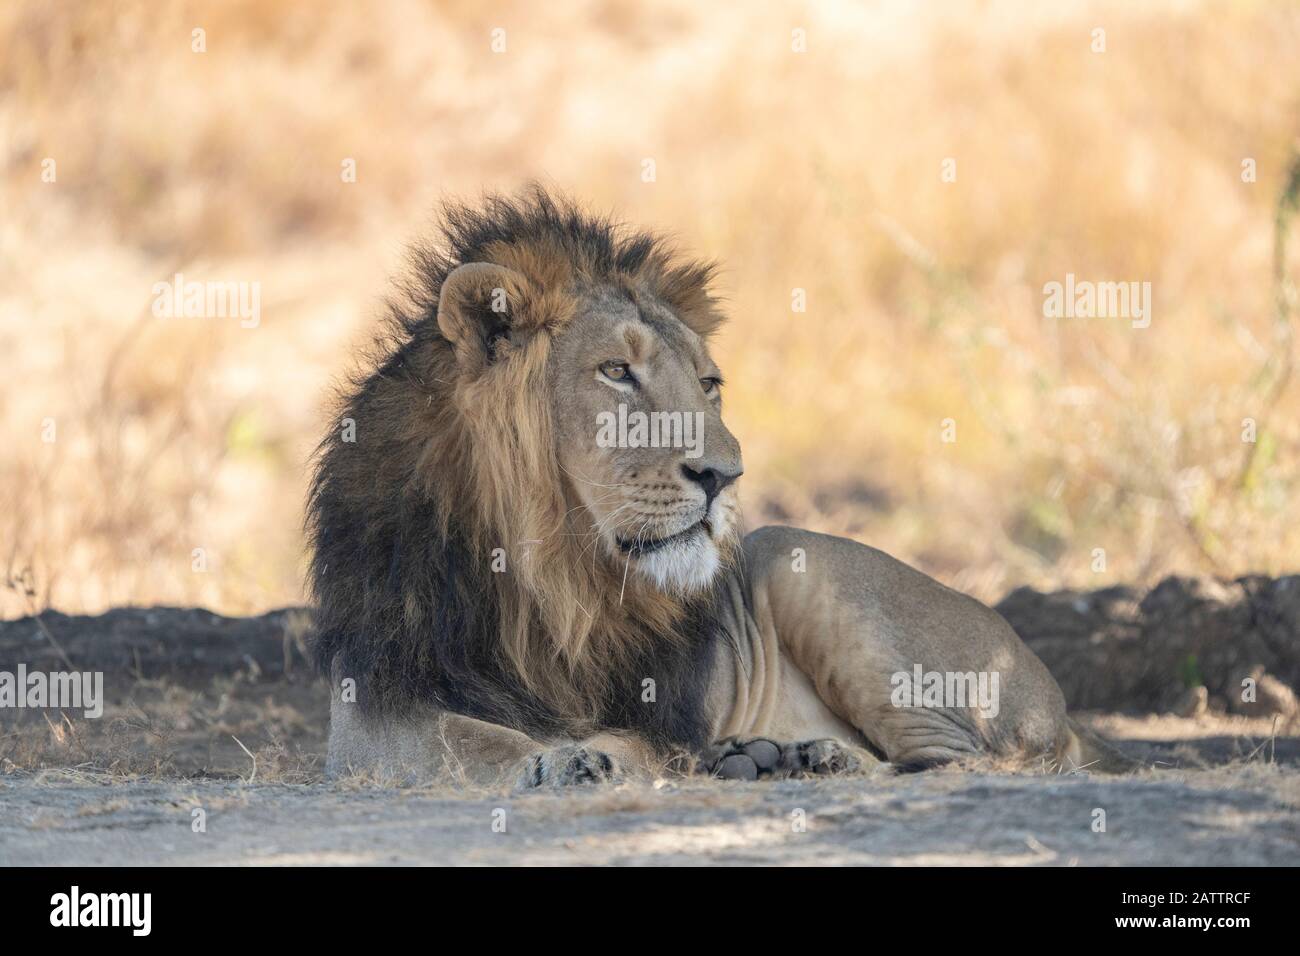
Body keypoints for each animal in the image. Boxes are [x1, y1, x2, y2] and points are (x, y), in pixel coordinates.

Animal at [307, 186, 1132, 787]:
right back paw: (768, 758)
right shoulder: (375, 703)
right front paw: (554, 756)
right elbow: (459, 739)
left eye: (707, 385)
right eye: (616, 371)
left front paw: (594, 756)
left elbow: (627, 741)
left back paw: (810, 759)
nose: (724, 475)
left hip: (804, 563)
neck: (549, 569)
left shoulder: (657, 711)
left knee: (964, 761)